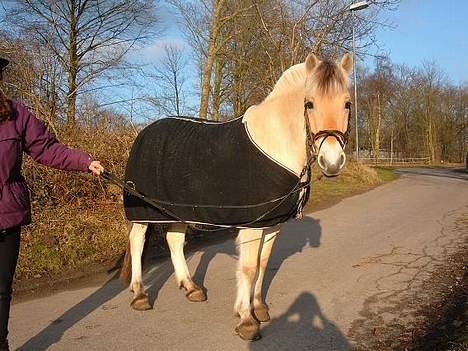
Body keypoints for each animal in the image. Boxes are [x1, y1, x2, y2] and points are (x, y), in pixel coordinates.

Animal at [119, 52, 352, 340]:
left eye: (347, 103)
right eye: (309, 103)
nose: (332, 162)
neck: (275, 143)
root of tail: (144, 132)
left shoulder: (271, 223)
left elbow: (263, 263)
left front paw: (259, 308)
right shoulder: (253, 225)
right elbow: (249, 267)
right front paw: (246, 320)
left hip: (176, 210)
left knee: (174, 240)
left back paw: (191, 287)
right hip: (143, 212)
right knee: (137, 242)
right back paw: (140, 294)